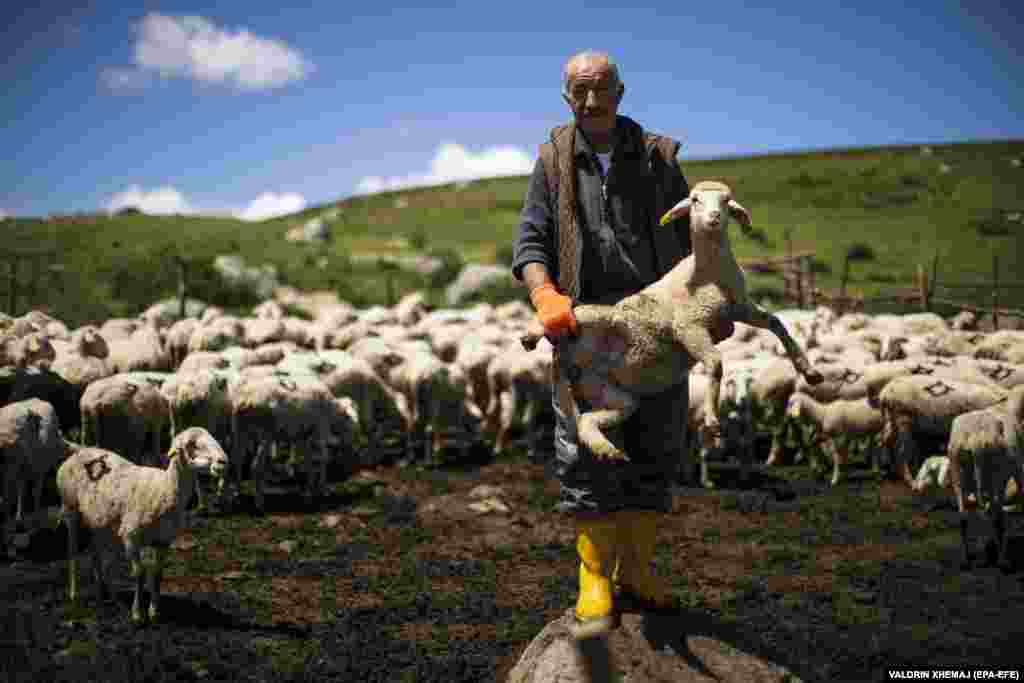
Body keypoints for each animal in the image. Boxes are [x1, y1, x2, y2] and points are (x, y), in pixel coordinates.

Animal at [57, 430, 229, 622]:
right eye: (192, 445)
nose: (223, 461)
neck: (165, 489)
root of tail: (81, 450)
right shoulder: (131, 537)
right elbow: (139, 573)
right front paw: (137, 614)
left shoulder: (163, 541)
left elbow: (157, 574)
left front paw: (154, 612)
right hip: (70, 508)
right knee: (72, 550)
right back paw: (74, 593)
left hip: (99, 520)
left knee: (96, 551)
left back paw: (103, 591)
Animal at [942, 385, 1024, 573]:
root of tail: (972, 441)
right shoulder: (1015, 472)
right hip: (994, 476)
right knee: (992, 514)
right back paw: (1001, 560)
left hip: (959, 474)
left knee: (965, 515)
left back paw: (967, 560)